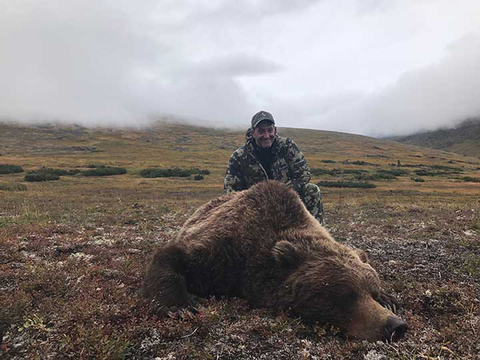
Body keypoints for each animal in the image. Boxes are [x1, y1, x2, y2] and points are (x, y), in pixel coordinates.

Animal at [142, 181, 404, 342]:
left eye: (372, 291)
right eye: (347, 294)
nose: (396, 326)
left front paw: (390, 300)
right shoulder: (222, 252)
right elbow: (172, 257)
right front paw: (179, 306)